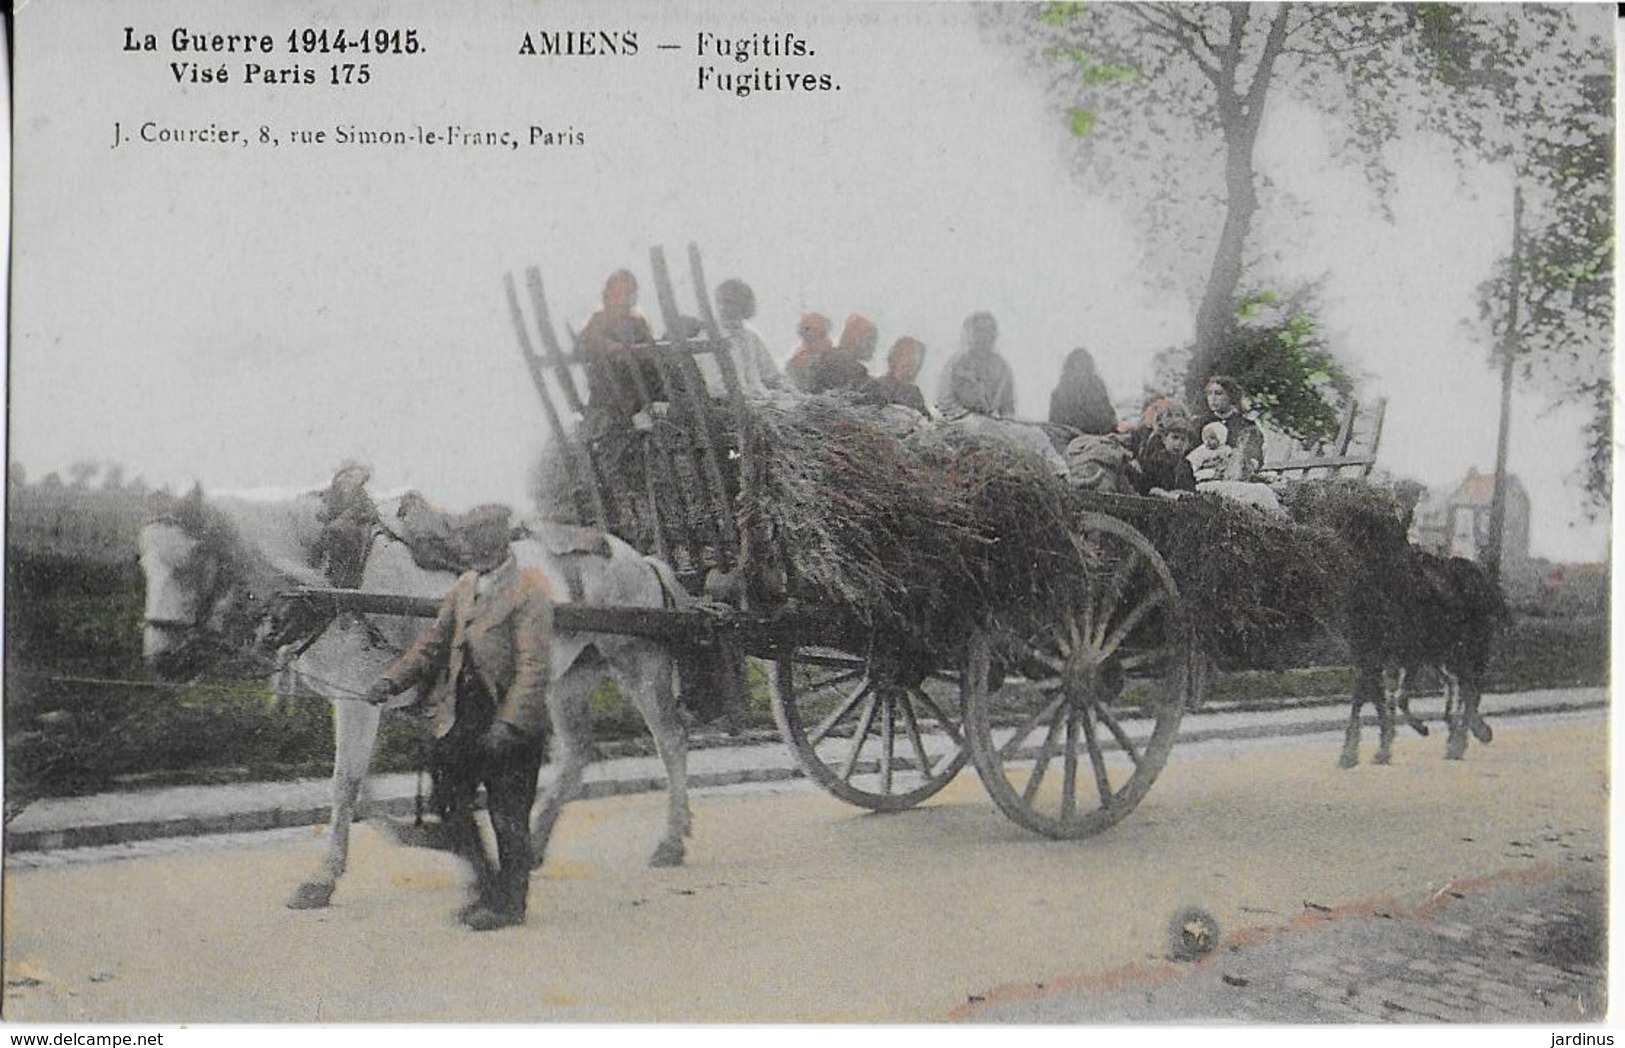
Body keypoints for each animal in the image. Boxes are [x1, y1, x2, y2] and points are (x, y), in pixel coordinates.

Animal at [141, 487, 692, 909]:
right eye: (142, 564)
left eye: (192, 560)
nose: (161, 659)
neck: (338, 576)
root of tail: (639, 557)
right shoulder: (363, 698)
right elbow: (360, 787)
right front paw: (409, 835)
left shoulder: (359, 700)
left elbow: (345, 784)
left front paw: (322, 880)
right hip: (565, 677)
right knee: (577, 755)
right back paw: (533, 846)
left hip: (638, 663)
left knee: (670, 743)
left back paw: (672, 840)